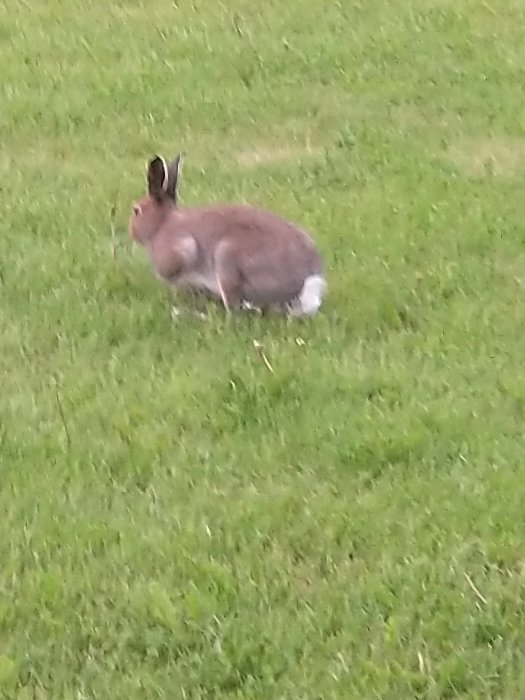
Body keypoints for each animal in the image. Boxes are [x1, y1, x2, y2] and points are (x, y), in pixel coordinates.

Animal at [128, 152, 327, 316]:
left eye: (136, 211)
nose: (131, 232)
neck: (161, 224)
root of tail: (306, 284)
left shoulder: (183, 250)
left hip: (227, 261)